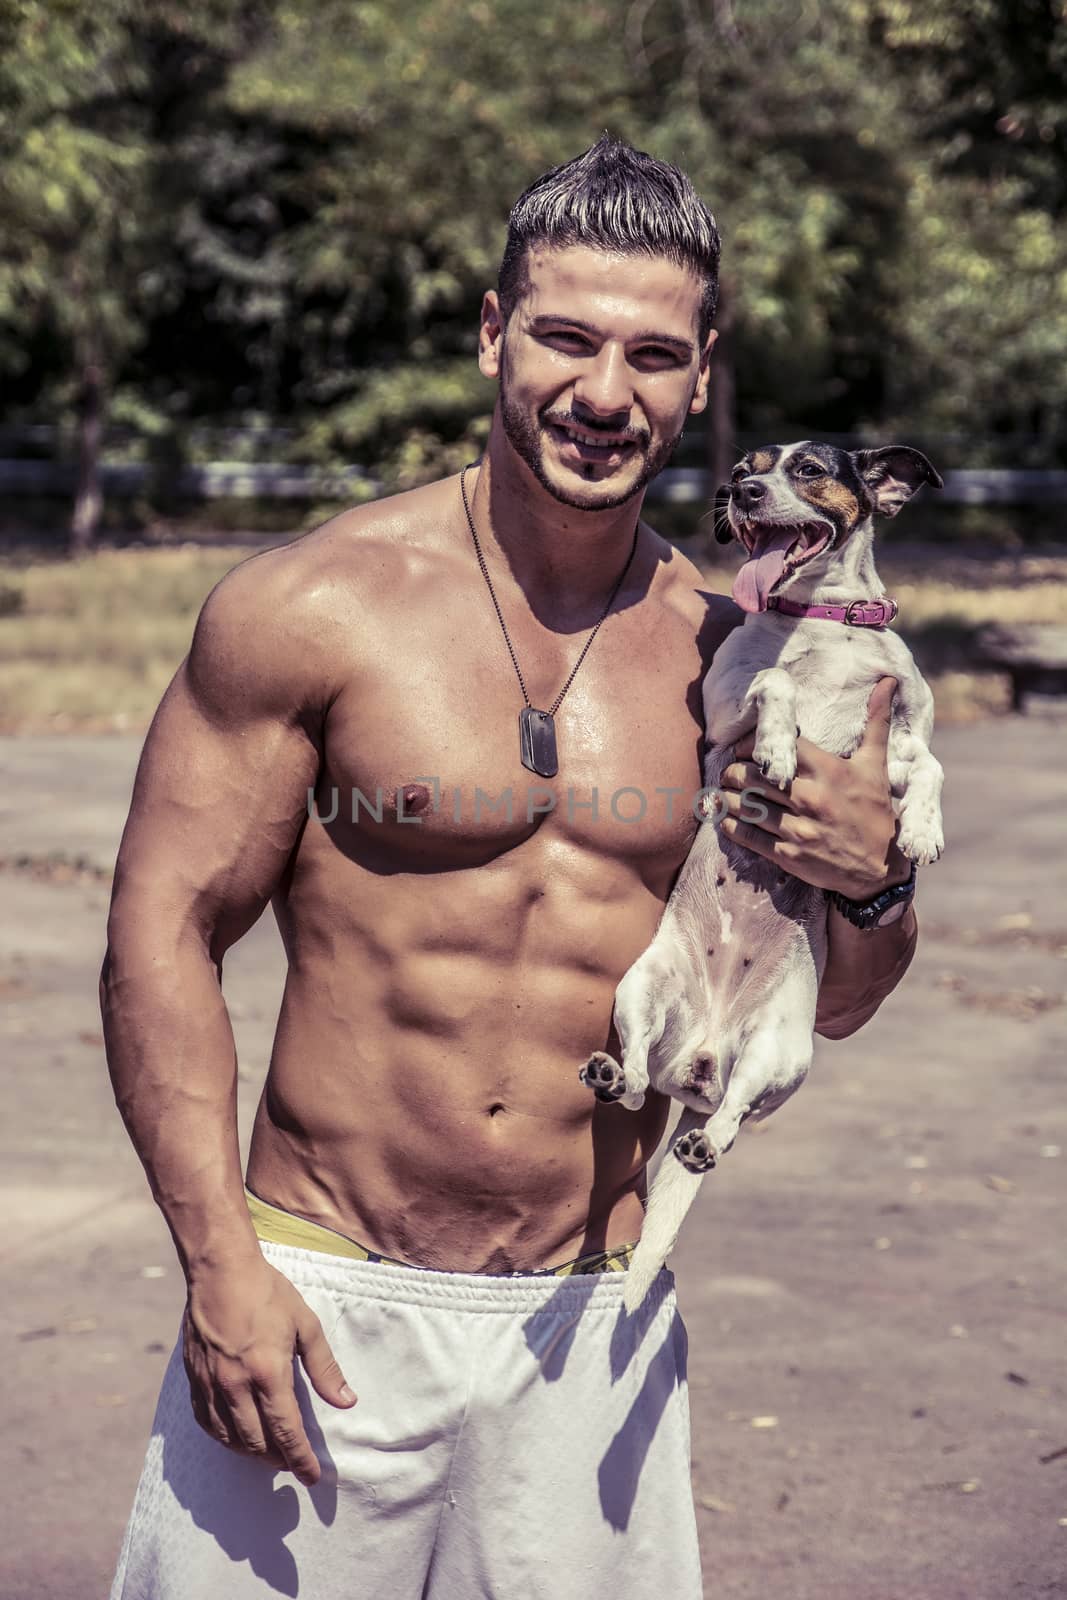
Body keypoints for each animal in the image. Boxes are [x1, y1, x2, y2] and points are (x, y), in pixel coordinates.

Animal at [585, 441, 940, 1312]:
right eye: (747, 465)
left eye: (807, 468)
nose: (741, 490)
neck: (820, 626)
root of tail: (701, 1064)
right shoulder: (723, 715)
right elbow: (772, 685)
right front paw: (779, 747)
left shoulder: (899, 744)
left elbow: (929, 767)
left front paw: (921, 828)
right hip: (640, 991)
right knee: (636, 1085)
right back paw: (613, 1073)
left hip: (777, 1054)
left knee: (730, 1121)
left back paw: (702, 1145)